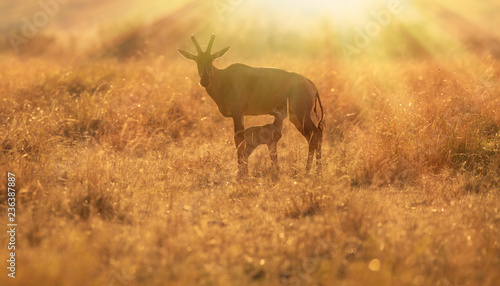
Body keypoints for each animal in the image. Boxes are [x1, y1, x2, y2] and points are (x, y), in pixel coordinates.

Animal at [179, 34, 324, 178]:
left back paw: (315, 172)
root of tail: (311, 85)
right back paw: (310, 171)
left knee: (316, 135)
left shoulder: (238, 112)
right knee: (312, 137)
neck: (225, 78)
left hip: (299, 115)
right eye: (197, 60)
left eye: (212, 60)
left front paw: (241, 174)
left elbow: (239, 140)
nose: (204, 81)